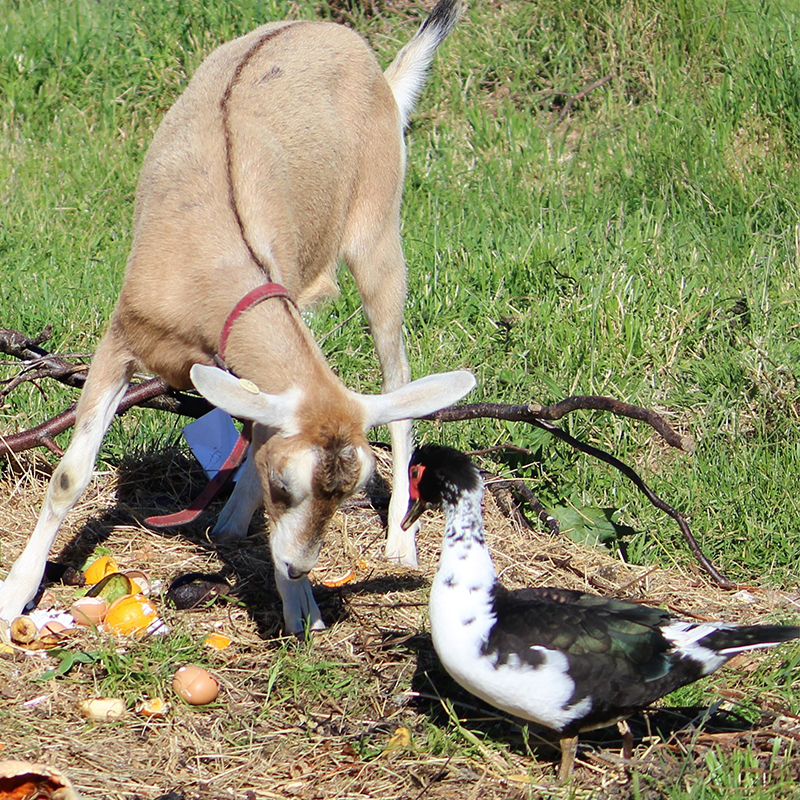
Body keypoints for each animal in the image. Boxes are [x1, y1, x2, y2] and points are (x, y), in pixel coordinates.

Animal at [0, 1, 472, 636]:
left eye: (346, 492)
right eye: (283, 485)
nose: (298, 568)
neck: (211, 258)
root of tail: (369, 60)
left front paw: (300, 607)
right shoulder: (122, 337)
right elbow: (71, 477)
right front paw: (14, 594)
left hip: (378, 227)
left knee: (397, 372)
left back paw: (398, 541)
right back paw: (230, 520)